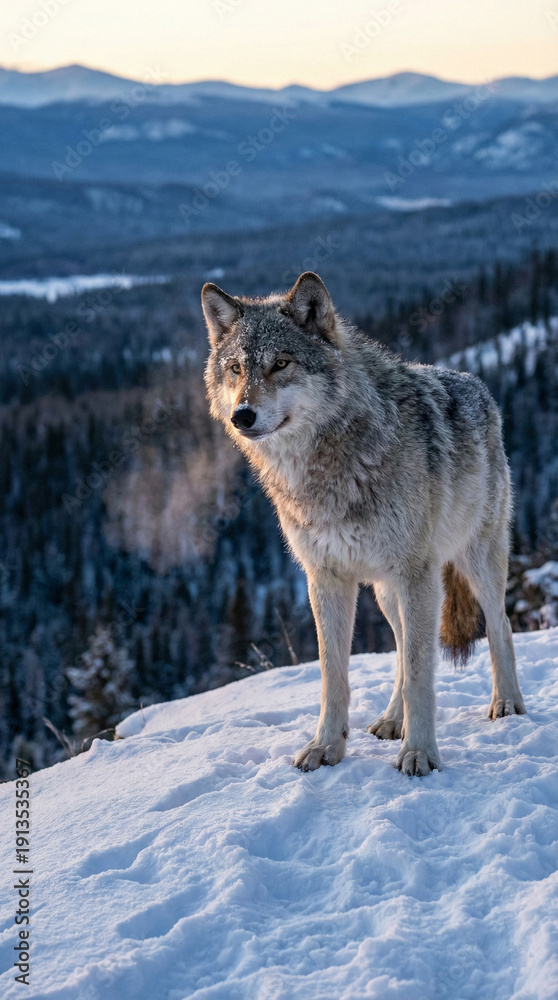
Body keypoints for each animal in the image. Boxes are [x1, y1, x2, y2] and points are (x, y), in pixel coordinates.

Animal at [202, 272, 526, 776]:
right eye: (235, 368)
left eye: (281, 364)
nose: (242, 415)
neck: (327, 467)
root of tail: (478, 385)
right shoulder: (325, 578)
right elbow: (334, 675)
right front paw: (325, 747)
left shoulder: (416, 574)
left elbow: (420, 674)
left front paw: (420, 753)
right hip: (387, 592)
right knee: (402, 648)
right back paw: (392, 719)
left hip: (471, 564)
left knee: (499, 625)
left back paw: (506, 703)